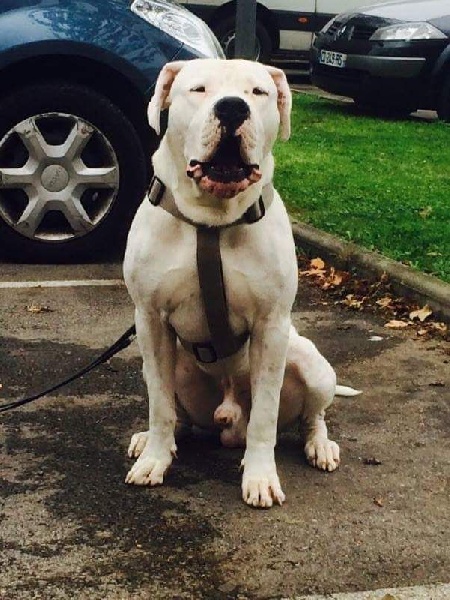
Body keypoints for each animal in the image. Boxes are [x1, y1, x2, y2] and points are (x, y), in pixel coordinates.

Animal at [123, 58, 358, 506]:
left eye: (258, 92)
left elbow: (264, 417)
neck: (211, 223)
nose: (232, 107)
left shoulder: (271, 326)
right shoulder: (151, 321)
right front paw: (155, 459)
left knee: (312, 415)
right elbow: (159, 404)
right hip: (172, 362)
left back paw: (319, 445)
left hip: (309, 362)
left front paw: (261, 477)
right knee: (174, 412)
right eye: (198, 88)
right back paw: (153, 440)